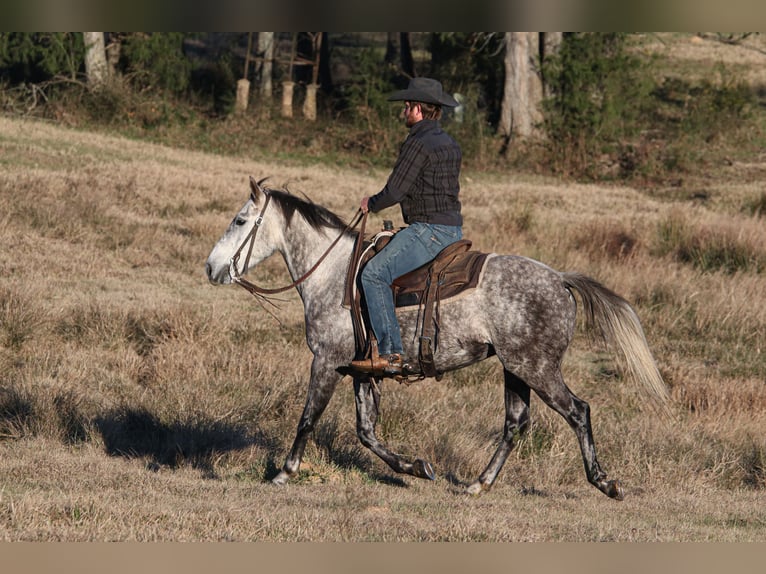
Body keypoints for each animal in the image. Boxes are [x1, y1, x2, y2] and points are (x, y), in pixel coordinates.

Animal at [207, 178, 668, 502]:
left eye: (240, 221)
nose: (211, 267)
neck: (334, 274)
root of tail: (560, 279)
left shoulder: (325, 361)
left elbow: (308, 418)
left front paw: (284, 472)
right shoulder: (359, 369)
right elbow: (366, 432)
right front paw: (415, 467)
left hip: (537, 368)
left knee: (577, 411)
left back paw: (605, 483)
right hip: (515, 368)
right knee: (515, 423)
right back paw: (479, 484)